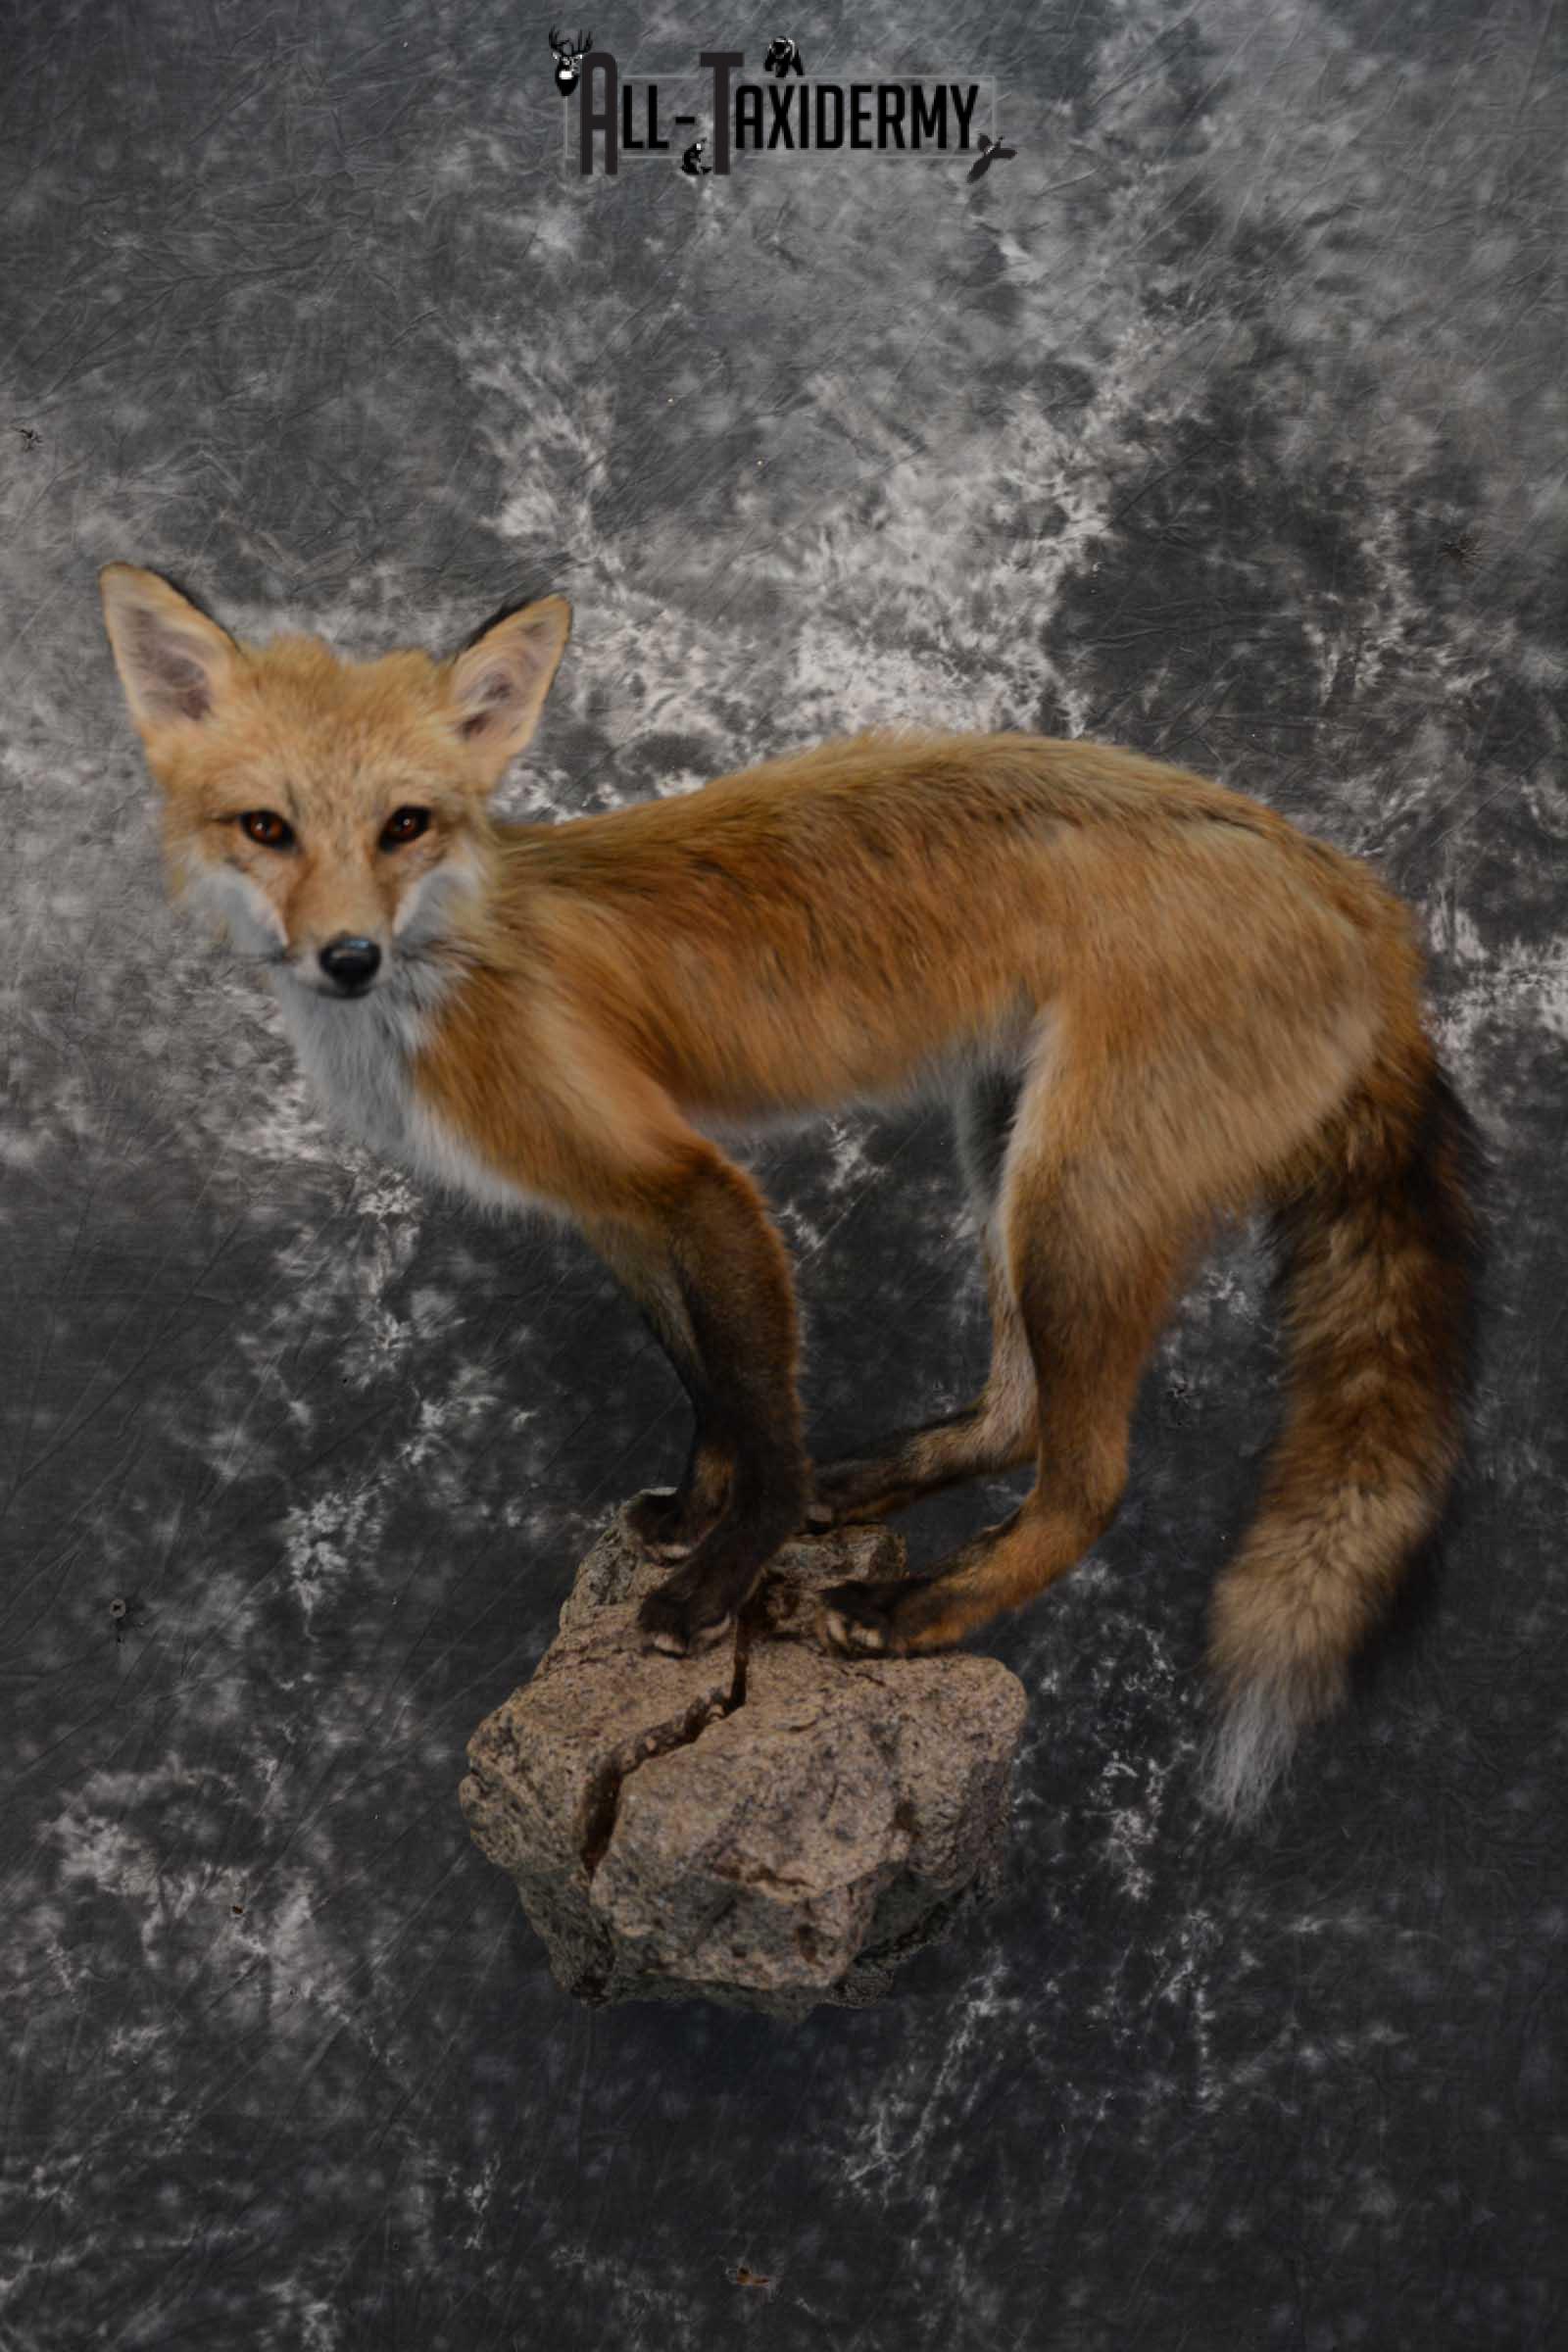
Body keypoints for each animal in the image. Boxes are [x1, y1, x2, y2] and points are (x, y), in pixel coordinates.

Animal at [99, 563, 1481, 1820]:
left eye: (405, 825)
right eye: (265, 828)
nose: (347, 956)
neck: (452, 971)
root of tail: (1365, 906)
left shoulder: (691, 1180)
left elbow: (764, 1411)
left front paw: (716, 1586)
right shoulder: (616, 1209)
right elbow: (705, 1377)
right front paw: (691, 1512)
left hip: (1077, 1205)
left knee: (1089, 1484)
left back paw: (919, 1608)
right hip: (1005, 1153)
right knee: (1017, 1413)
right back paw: (874, 1488)